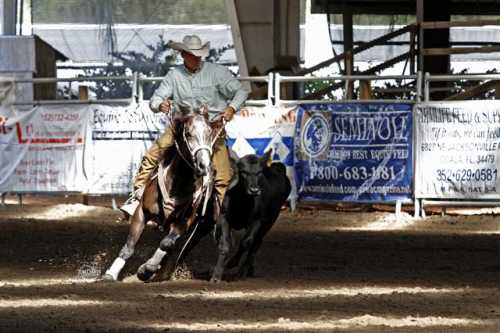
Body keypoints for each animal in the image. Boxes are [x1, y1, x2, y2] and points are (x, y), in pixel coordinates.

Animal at [102, 105, 224, 280]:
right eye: (188, 134)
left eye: (209, 134)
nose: (204, 165)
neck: (177, 183)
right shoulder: (141, 212)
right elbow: (129, 247)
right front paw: (110, 274)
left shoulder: (184, 222)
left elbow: (166, 244)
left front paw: (147, 268)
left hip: (202, 226)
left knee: (180, 248)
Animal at [210, 149, 290, 282]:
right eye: (243, 172)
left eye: (259, 172)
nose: (254, 190)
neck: (242, 203)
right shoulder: (224, 217)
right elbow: (225, 244)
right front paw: (216, 276)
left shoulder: (257, 221)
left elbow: (246, 242)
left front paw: (232, 262)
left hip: (269, 221)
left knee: (255, 244)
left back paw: (242, 272)